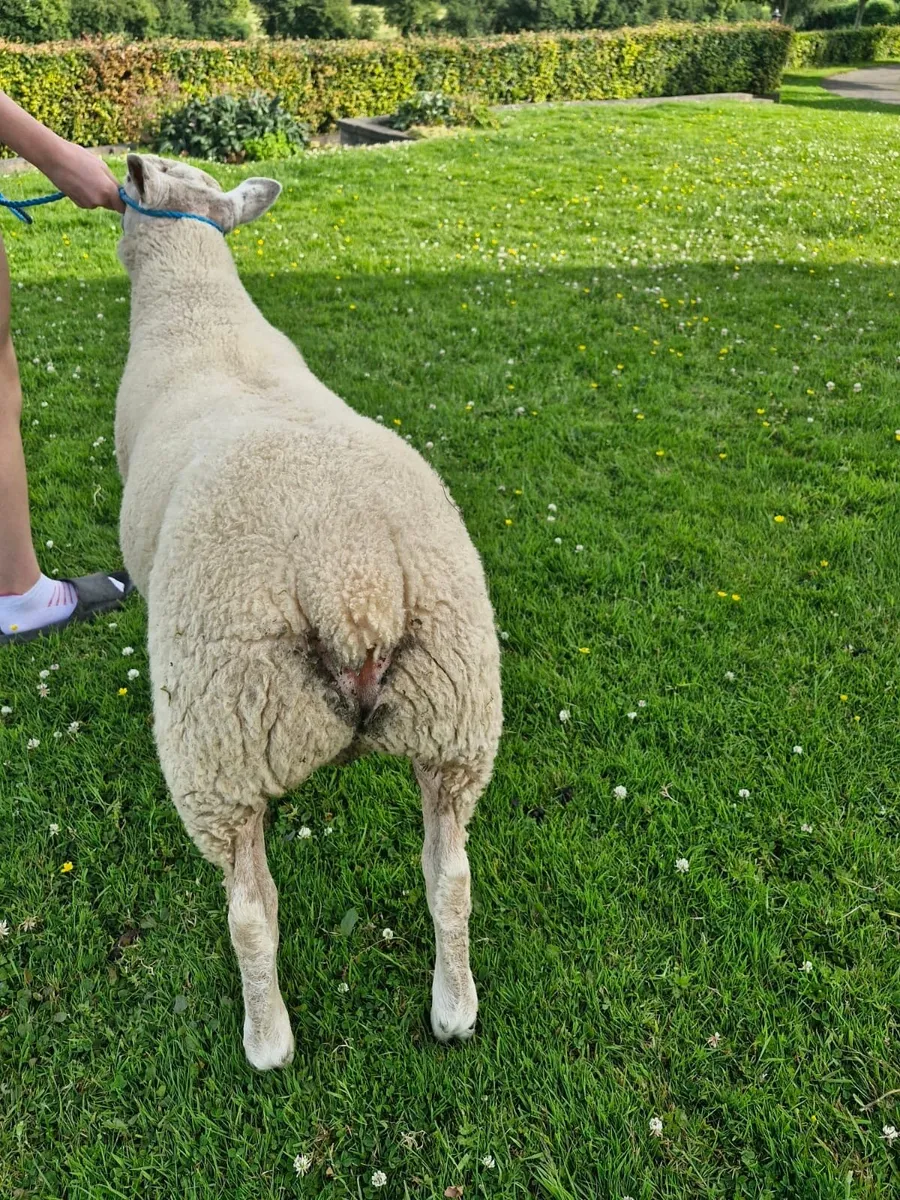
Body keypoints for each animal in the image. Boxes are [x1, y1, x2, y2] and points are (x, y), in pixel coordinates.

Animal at [114, 155, 503, 1070]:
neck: (198, 310)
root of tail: (351, 582)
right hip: (456, 715)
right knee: (451, 875)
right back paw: (453, 1008)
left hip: (217, 745)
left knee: (252, 911)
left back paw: (268, 1039)